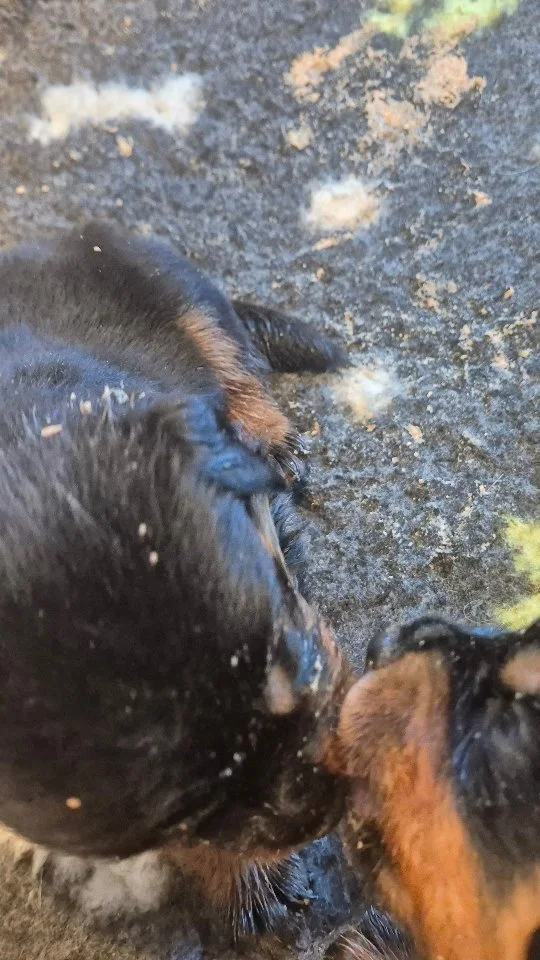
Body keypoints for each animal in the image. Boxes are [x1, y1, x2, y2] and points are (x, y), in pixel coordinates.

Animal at [0, 222, 352, 934]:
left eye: (300, 663)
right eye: (181, 820)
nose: (331, 809)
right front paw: (257, 884)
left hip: (176, 287)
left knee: (235, 353)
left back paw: (275, 436)